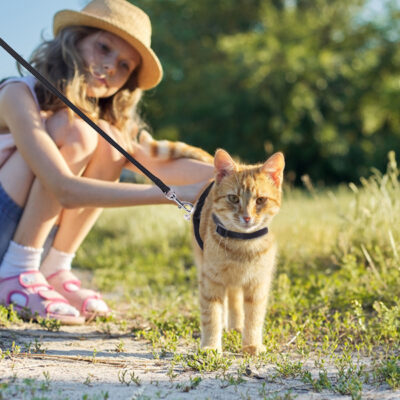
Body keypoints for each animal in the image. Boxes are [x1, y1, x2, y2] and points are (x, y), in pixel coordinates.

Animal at [191, 148, 282, 354]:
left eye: (260, 200)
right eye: (233, 198)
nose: (247, 218)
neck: (242, 245)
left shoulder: (257, 284)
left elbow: (254, 317)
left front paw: (251, 344)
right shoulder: (211, 280)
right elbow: (212, 315)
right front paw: (211, 346)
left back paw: (236, 326)